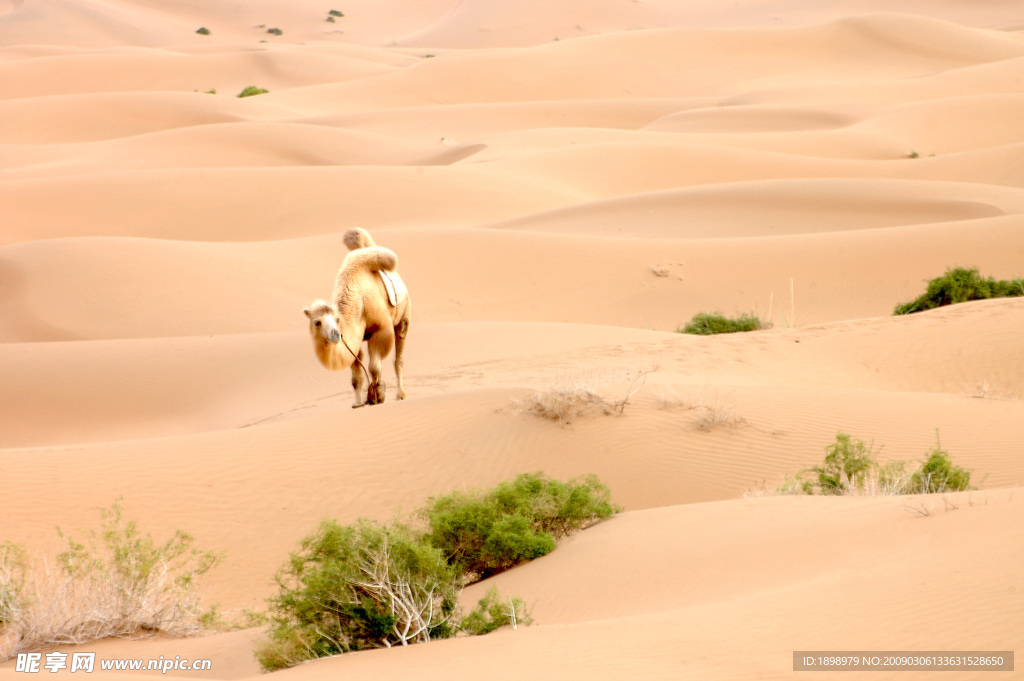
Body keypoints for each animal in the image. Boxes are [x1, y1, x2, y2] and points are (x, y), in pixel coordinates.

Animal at [303, 231, 411, 405]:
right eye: (317, 322)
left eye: (337, 320)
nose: (335, 334)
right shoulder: (353, 339)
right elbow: (356, 377)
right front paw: (359, 403)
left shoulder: (381, 330)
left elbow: (374, 367)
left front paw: (376, 395)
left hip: (404, 315)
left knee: (398, 356)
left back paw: (400, 394)